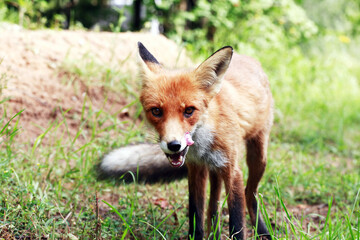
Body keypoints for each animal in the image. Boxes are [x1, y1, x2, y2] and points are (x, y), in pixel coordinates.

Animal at [98, 42, 272, 239]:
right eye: (156, 111)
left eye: (189, 110)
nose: (174, 145)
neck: (204, 143)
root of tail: (251, 59)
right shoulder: (196, 168)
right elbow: (196, 215)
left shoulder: (232, 171)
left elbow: (237, 224)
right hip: (214, 170)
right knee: (213, 206)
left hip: (258, 158)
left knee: (250, 194)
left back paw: (263, 231)